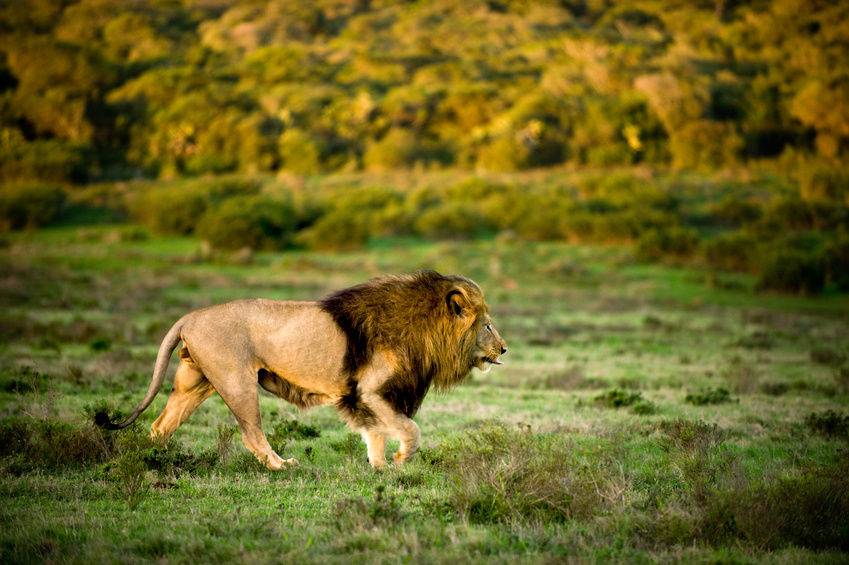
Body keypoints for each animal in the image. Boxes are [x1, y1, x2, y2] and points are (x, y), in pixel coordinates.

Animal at [99, 270, 510, 470]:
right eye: (488, 325)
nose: (505, 348)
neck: (425, 329)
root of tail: (188, 317)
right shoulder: (371, 390)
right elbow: (410, 429)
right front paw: (398, 460)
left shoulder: (368, 397)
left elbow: (377, 431)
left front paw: (379, 466)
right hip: (236, 381)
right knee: (251, 433)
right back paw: (281, 466)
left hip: (195, 383)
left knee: (160, 425)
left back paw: (150, 460)